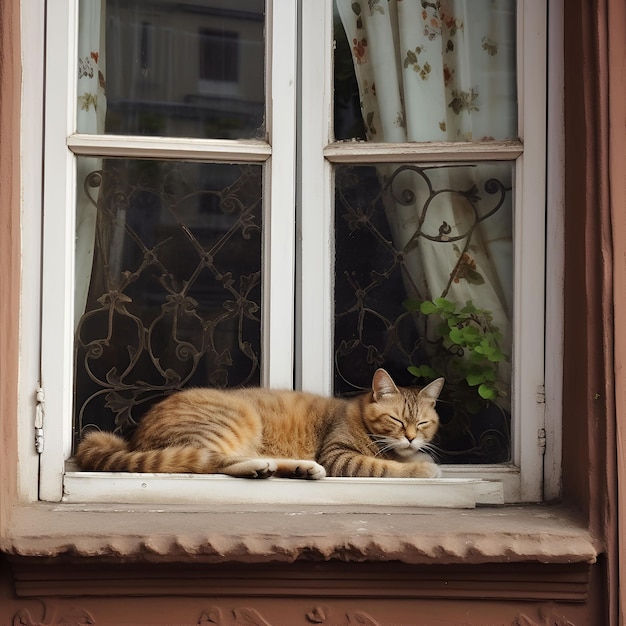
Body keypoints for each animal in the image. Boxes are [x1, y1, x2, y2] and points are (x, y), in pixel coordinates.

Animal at [75, 366, 442, 478]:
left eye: (423, 424)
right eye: (396, 419)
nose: (411, 438)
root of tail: (133, 440)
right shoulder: (339, 456)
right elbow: (383, 466)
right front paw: (420, 467)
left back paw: (297, 468)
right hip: (233, 421)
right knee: (210, 463)